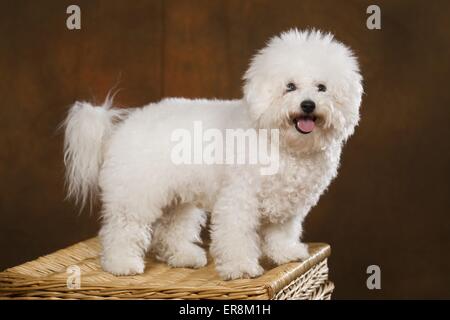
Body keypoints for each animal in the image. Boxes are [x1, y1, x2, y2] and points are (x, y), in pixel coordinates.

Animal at [62, 30, 362, 280]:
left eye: (322, 87)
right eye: (290, 86)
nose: (308, 105)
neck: (281, 142)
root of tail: (120, 128)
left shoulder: (287, 205)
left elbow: (281, 232)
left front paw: (286, 253)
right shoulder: (239, 199)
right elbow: (236, 236)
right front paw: (241, 268)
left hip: (179, 198)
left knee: (170, 230)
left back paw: (184, 256)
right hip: (135, 195)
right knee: (121, 229)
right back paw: (121, 264)